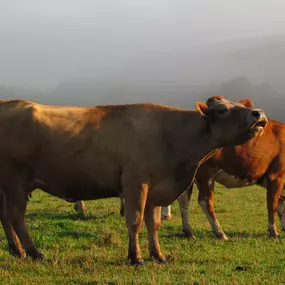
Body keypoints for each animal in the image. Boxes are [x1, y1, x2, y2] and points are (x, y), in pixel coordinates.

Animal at [0, 96, 266, 262]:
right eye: (222, 110)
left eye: (237, 103)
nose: (258, 113)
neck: (170, 134)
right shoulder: (135, 183)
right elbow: (135, 221)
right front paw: (135, 256)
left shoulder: (156, 188)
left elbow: (153, 223)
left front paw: (158, 255)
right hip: (15, 182)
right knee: (16, 217)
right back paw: (33, 252)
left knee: (5, 216)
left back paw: (16, 250)